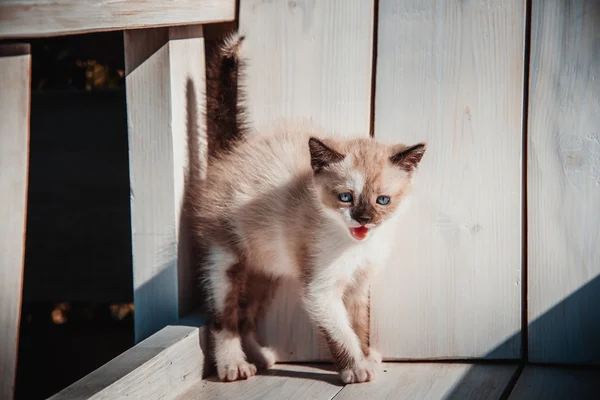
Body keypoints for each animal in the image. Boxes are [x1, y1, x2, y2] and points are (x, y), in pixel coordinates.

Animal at [190, 33, 424, 384]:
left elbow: (358, 323)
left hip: (264, 271)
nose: (363, 219)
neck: (355, 245)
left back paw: (260, 357)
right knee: (225, 316)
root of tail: (232, 152)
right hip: (227, 258)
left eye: (383, 200)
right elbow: (340, 331)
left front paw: (366, 354)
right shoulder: (319, 289)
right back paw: (233, 365)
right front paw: (355, 368)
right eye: (345, 197)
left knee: (246, 315)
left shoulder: (359, 283)